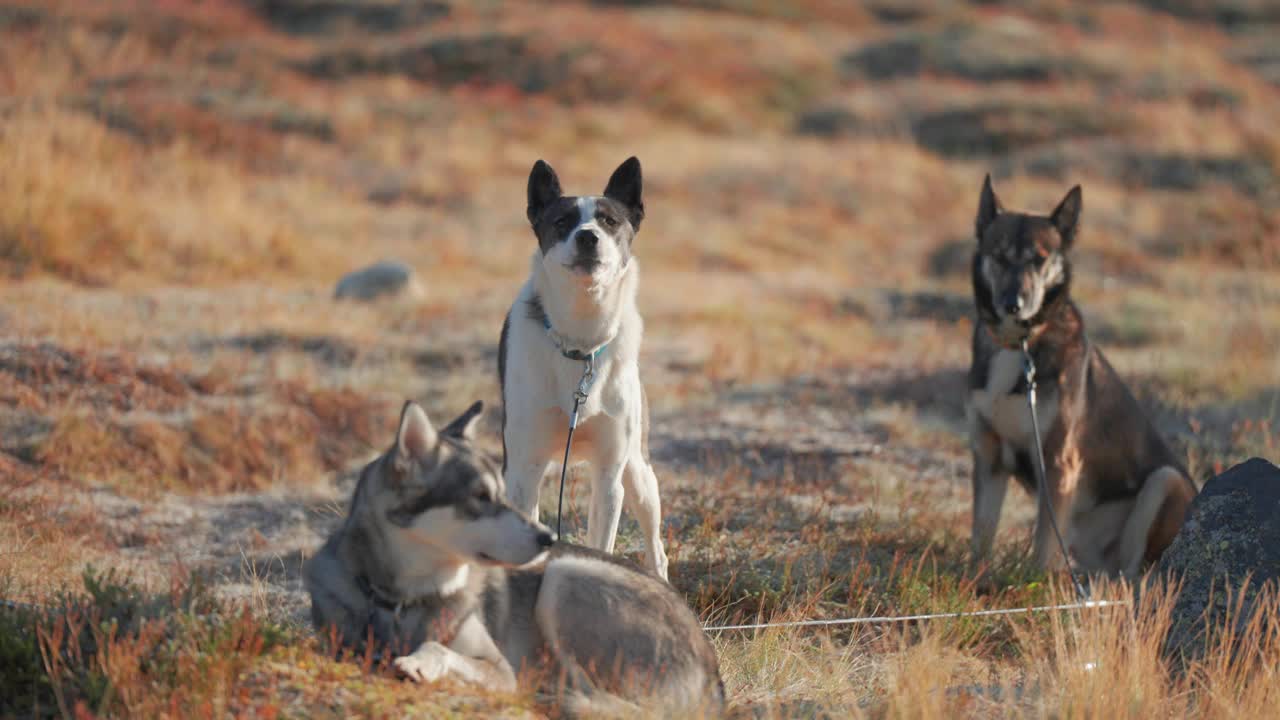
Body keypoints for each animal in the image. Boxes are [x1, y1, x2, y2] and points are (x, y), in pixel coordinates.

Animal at [494, 155, 670, 576]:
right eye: (562, 222)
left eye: (609, 221)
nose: (587, 237)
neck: (580, 341)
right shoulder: (523, 469)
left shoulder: (609, 476)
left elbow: (602, 544)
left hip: (639, 474)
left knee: (657, 548)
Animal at [962, 175, 1192, 576]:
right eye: (999, 255)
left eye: (1039, 258)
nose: (1013, 304)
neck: (1019, 346)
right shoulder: (989, 457)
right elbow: (982, 534)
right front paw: (974, 575)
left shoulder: (1057, 459)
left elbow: (1042, 543)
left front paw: (1033, 583)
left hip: (1165, 480)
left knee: (1135, 573)